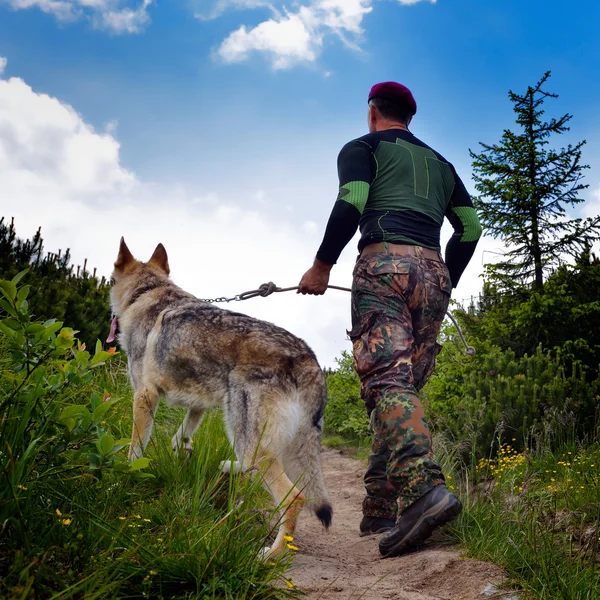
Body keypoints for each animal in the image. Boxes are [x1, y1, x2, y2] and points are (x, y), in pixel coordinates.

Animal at [108, 239, 332, 556]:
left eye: (109, 281)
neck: (147, 292)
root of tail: (309, 359)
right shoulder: (199, 403)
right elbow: (180, 436)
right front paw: (183, 453)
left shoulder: (144, 396)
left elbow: (134, 452)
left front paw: (122, 480)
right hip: (241, 429)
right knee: (250, 467)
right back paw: (227, 467)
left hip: (248, 439)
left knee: (294, 499)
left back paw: (269, 556)